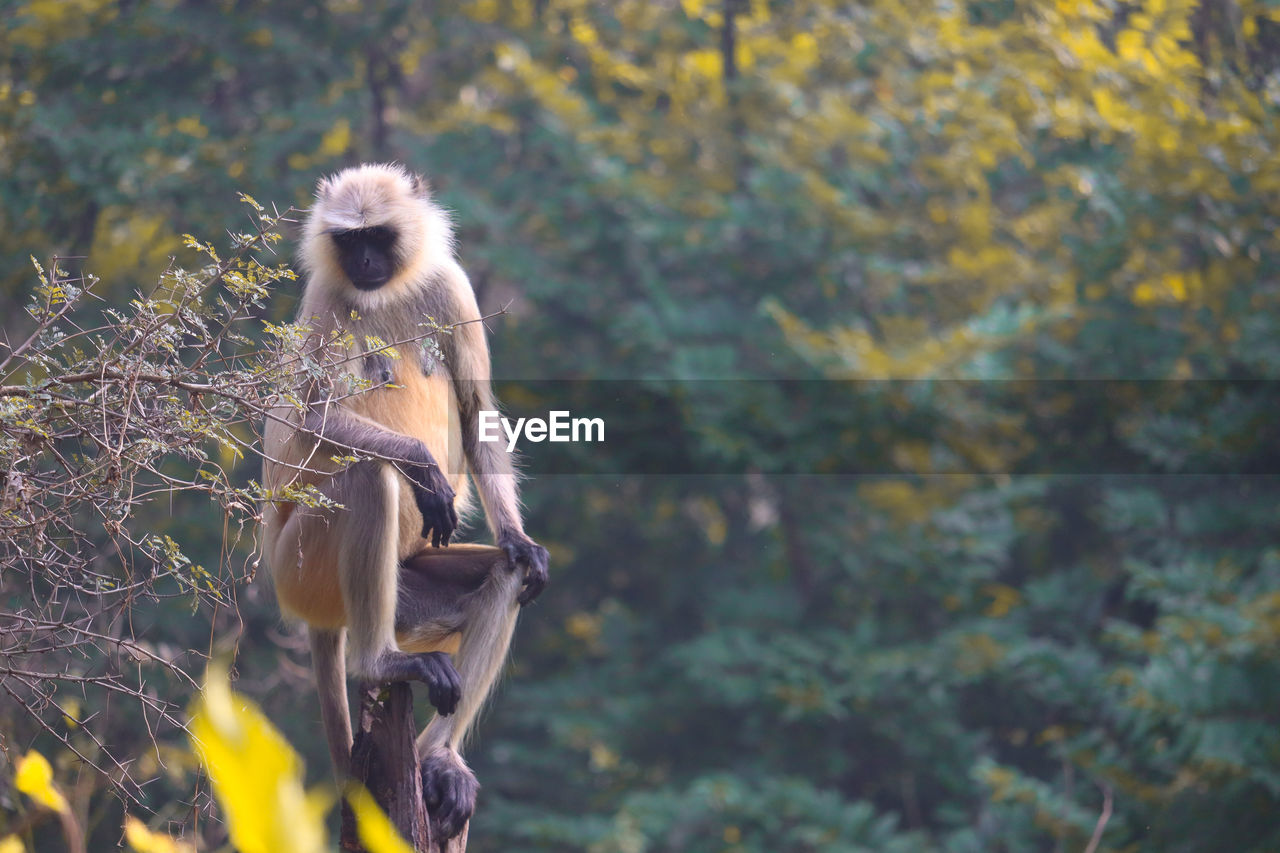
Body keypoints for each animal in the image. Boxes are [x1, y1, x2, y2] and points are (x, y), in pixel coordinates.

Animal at [264, 163, 550, 835]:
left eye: (380, 236)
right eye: (349, 241)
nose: (366, 261)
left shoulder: (452, 288)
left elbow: (475, 411)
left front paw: (520, 539)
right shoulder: (326, 296)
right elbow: (306, 421)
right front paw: (421, 463)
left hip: (406, 587)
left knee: (506, 572)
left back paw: (437, 759)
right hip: (301, 567)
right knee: (370, 477)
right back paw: (378, 664)